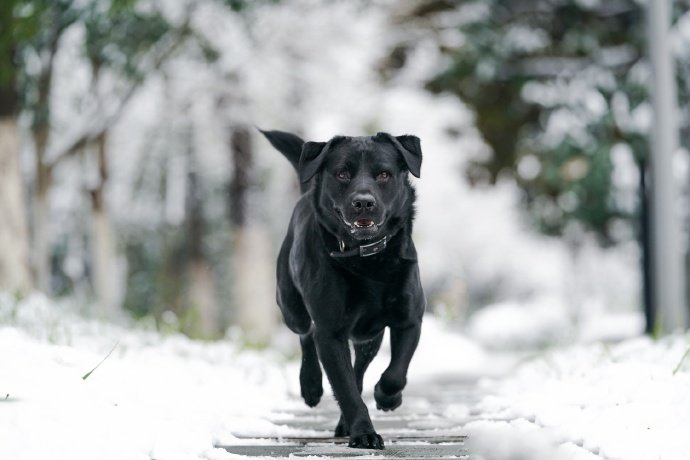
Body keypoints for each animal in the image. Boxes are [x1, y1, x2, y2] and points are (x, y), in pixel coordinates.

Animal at [260, 129, 422, 450]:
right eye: (342, 174)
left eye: (383, 174)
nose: (363, 202)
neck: (367, 260)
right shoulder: (331, 331)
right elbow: (345, 388)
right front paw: (365, 434)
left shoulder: (409, 319)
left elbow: (395, 373)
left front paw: (387, 397)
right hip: (291, 307)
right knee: (306, 334)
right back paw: (311, 386)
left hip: (368, 336)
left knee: (358, 370)